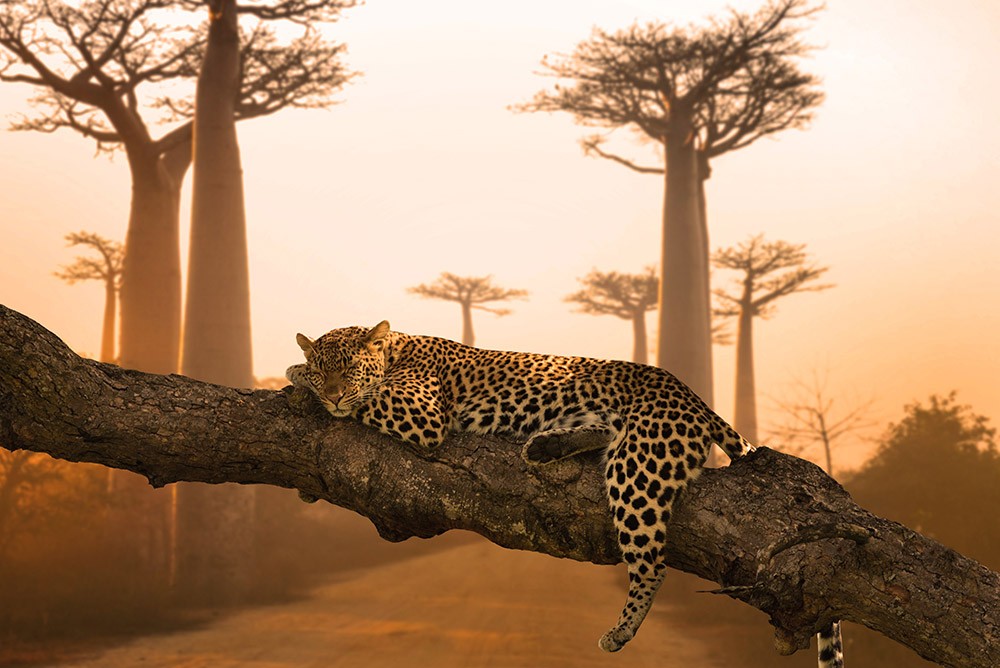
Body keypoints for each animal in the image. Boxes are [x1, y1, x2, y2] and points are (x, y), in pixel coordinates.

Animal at [288, 320, 844, 664]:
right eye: (324, 368)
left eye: (349, 370)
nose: (331, 392)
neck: (398, 346)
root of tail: (693, 397)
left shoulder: (420, 413)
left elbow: (369, 398)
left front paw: (297, 377)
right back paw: (546, 446)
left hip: (637, 468)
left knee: (652, 563)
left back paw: (621, 630)